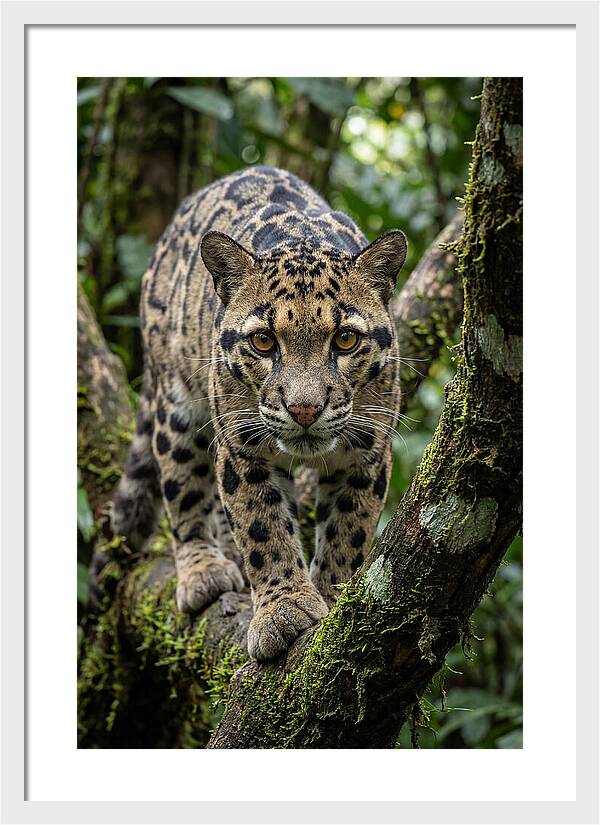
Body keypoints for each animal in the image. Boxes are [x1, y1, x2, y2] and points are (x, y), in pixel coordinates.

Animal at [111, 165, 407, 661]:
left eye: (346, 340)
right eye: (264, 341)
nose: (305, 408)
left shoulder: (367, 450)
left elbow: (349, 530)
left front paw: (333, 596)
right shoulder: (242, 447)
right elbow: (262, 528)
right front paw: (284, 611)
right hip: (176, 404)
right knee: (183, 489)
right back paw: (204, 570)